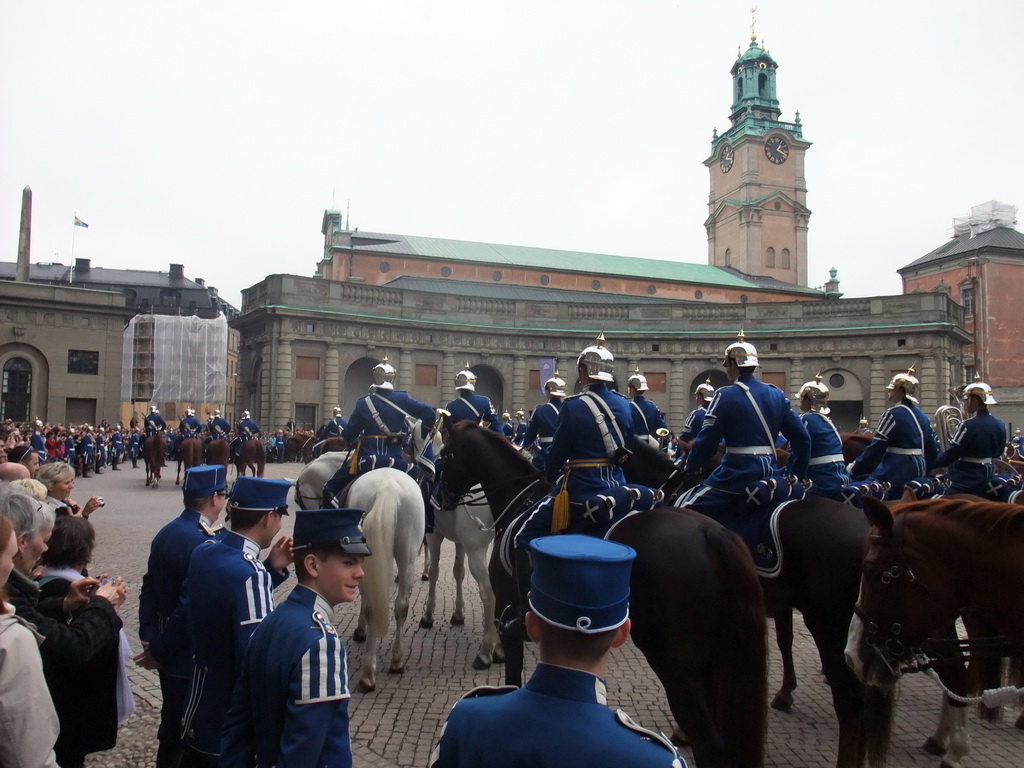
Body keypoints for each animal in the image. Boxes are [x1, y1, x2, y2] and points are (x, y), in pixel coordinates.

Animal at [440, 421, 770, 768]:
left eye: (445, 455)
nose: (442, 497)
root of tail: (711, 532)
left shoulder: (508, 620)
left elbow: (513, 680)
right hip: (712, 662)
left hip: (676, 665)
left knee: (709, 742)